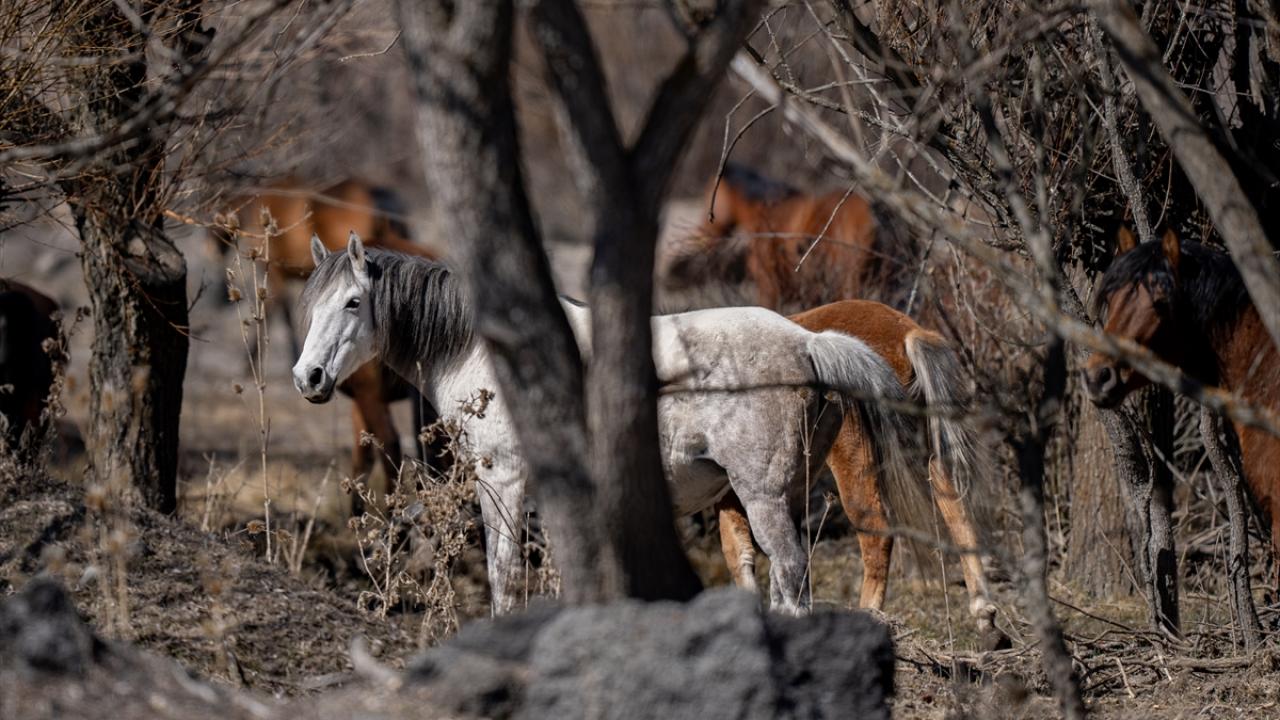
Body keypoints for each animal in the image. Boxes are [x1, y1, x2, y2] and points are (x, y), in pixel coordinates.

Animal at [293, 233, 934, 616]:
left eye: (353, 302)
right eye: (310, 305)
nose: (309, 377)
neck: (489, 356)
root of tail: (807, 343)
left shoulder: (502, 484)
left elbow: (505, 574)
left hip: (764, 497)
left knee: (795, 572)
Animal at [714, 299, 999, 635]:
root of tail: (906, 332)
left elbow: (738, 553)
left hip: (856, 456)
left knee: (878, 532)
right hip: (921, 447)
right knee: (956, 507)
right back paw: (983, 612)